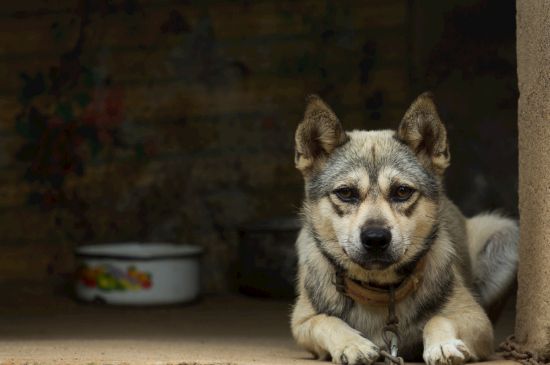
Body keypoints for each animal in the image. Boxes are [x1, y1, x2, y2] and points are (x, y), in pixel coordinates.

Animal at [292, 93, 520, 364]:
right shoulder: (301, 322)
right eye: (346, 193)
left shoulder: (477, 320)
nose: (376, 238)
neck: (380, 290)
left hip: (505, 234)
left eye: (402, 191)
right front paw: (352, 344)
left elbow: (438, 317)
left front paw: (442, 345)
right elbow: (325, 321)